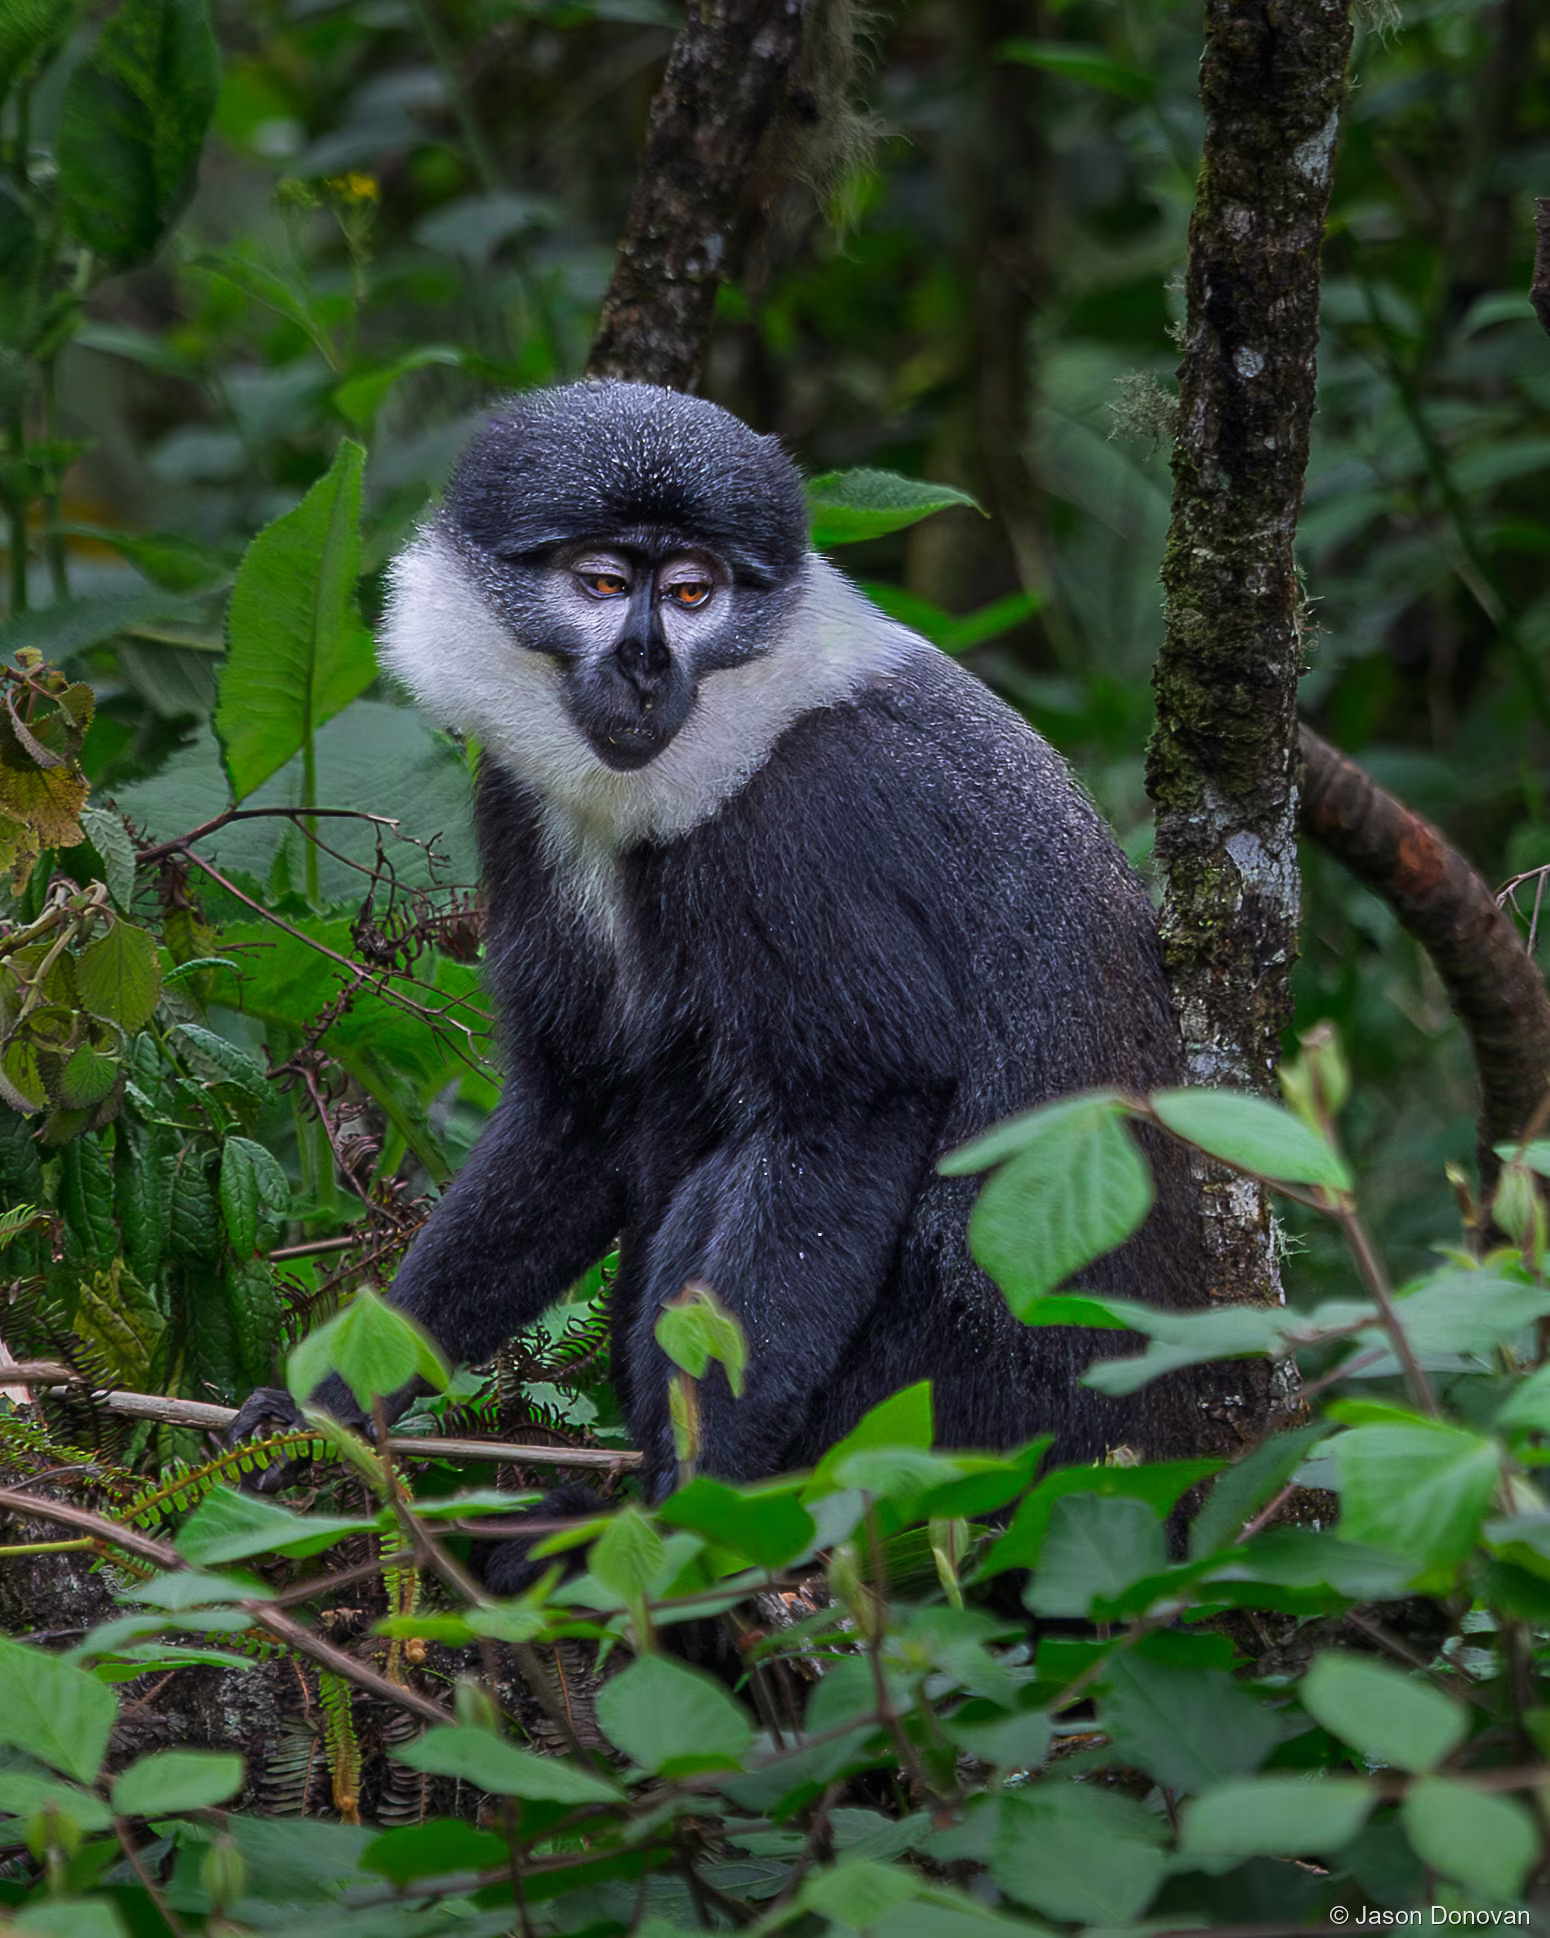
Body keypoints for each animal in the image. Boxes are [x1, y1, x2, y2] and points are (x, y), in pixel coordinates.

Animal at [229, 380, 1208, 1581]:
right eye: (605, 583)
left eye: (693, 592)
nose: (649, 662)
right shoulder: (519, 804)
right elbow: (578, 1109)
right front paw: (323, 1407)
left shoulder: (801, 824)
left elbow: (854, 1105)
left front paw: (697, 1520)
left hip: (955, 1423)